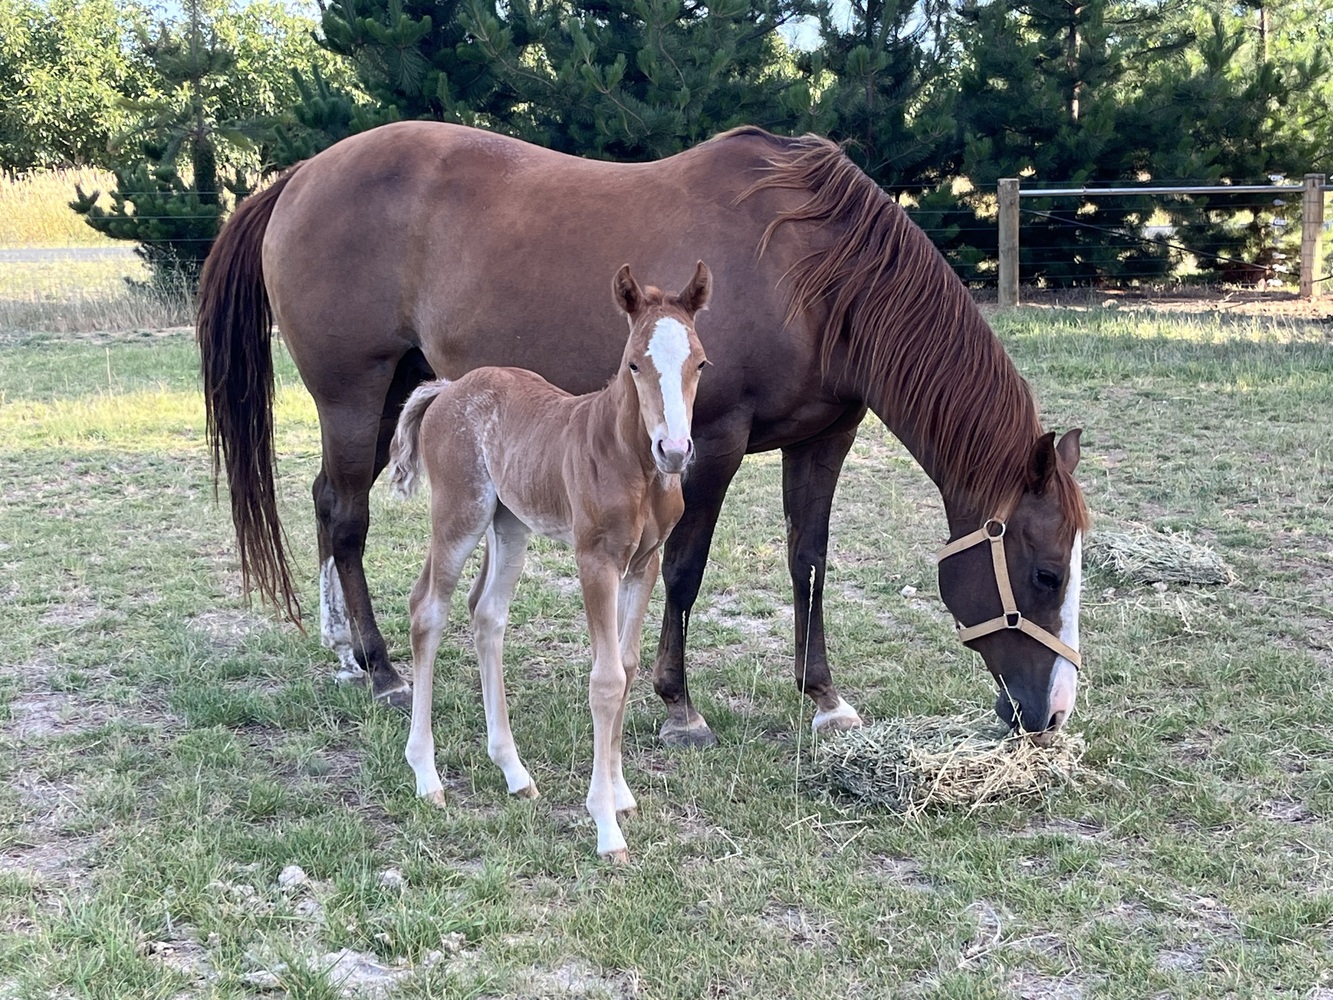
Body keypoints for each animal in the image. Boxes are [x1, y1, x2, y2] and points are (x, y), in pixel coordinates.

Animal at [196, 121, 1089, 744]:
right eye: (1045, 574)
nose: (1051, 715)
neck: (812, 270)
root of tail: (302, 176)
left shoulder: (822, 439)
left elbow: (807, 563)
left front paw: (823, 698)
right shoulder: (711, 444)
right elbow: (685, 569)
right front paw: (678, 704)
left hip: (395, 389)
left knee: (325, 502)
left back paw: (344, 651)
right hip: (353, 392)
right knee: (347, 515)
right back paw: (381, 669)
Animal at [386, 263, 711, 861]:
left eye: (699, 361)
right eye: (634, 362)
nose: (675, 451)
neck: (631, 462)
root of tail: (448, 388)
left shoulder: (644, 563)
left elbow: (628, 667)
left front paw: (621, 794)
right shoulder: (595, 560)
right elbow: (605, 679)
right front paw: (606, 826)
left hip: (510, 524)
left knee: (487, 613)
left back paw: (514, 772)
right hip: (460, 514)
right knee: (428, 608)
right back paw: (426, 775)